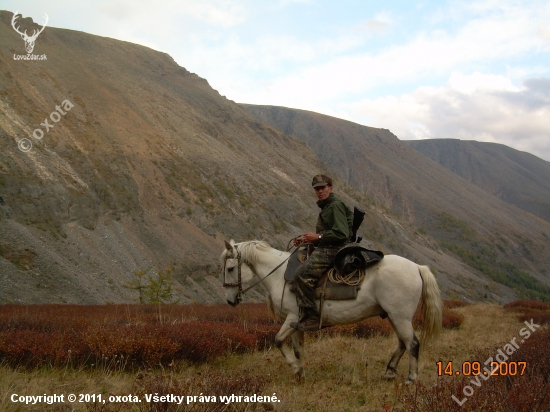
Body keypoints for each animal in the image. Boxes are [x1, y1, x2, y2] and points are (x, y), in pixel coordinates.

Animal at [222, 238, 442, 384]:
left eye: (230, 268)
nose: (230, 301)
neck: (278, 275)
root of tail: (417, 267)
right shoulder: (297, 322)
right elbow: (298, 350)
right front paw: (301, 375)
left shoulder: (292, 317)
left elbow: (277, 341)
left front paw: (295, 368)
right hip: (394, 316)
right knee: (402, 343)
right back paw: (389, 372)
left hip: (400, 317)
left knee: (412, 343)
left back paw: (411, 378)